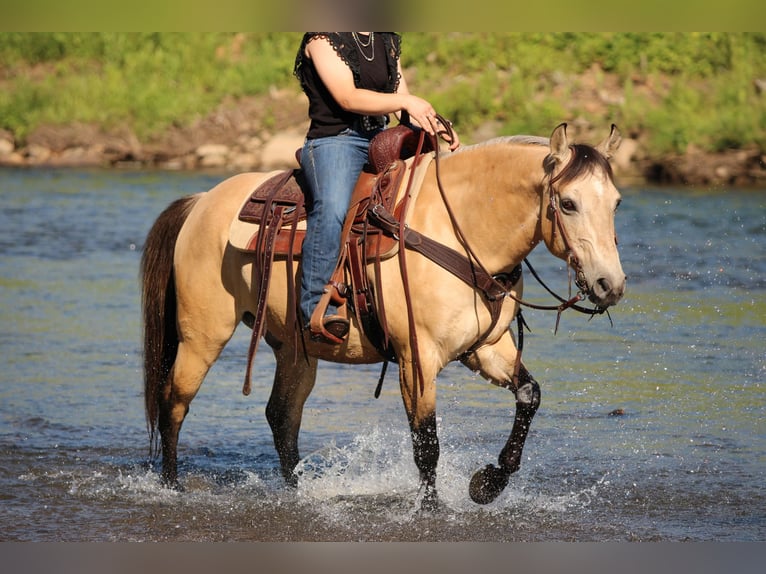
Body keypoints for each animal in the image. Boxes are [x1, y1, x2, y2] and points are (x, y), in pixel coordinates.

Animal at [140, 122, 626, 509]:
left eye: (617, 203)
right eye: (567, 203)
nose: (611, 285)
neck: (460, 228)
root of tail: (202, 202)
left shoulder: (486, 347)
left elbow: (529, 395)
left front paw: (487, 484)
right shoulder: (417, 357)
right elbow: (426, 443)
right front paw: (431, 509)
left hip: (296, 347)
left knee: (282, 418)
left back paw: (299, 493)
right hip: (203, 335)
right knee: (174, 401)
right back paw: (171, 487)